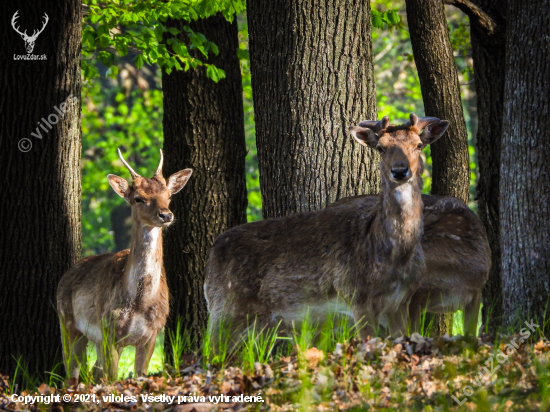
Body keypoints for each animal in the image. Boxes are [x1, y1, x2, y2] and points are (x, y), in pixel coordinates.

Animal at [57, 148, 193, 380]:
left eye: (168, 196)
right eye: (138, 198)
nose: (165, 215)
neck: (140, 302)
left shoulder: (152, 334)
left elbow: (139, 374)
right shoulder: (108, 330)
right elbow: (111, 378)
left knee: (92, 372)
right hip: (67, 322)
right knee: (73, 371)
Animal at [205, 112, 450, 342]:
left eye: (418, 145)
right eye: (381, 148)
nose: (400, 170)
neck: (396, 257)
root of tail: (212, 251)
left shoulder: (402, 300)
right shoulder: (355, 295)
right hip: (223, 310)